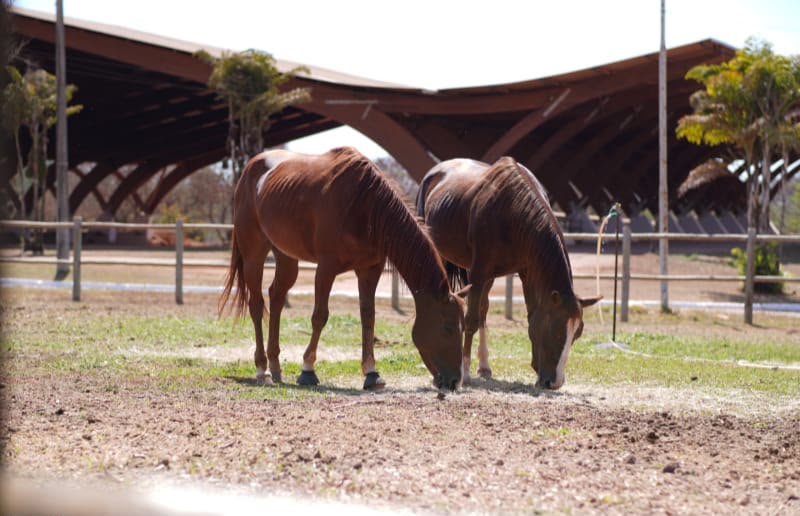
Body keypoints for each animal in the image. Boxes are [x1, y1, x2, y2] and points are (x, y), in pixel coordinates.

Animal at [219, 147, 465, 392]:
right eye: (448, 328)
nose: (454, 381)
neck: (365, 206)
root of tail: (250, 168)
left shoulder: (369, 270)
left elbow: (368, 317)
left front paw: (371, 372)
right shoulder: (326, 268)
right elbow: (320, 316)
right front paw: (307, 370)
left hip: (286, 257)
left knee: (276, 297)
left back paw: (275, 365)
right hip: (254, 254)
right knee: (256, 305)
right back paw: (262, 369)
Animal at [416, 156, 601, 389]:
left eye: (577, 334)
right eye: (557, 331)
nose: (555, 382)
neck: (512, 211)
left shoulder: (525, 272)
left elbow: (530, 317)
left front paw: (536, 370)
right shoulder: (479, 271)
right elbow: (470, 320)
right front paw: (464, 372)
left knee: (483, 309)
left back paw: (484, 366)